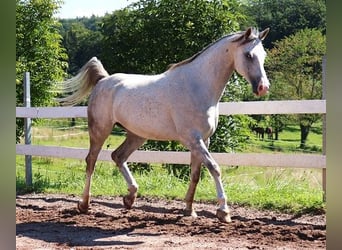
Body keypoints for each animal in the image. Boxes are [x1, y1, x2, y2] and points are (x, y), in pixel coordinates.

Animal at [56, 26, 270, 223]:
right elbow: (214, 168)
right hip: (100, 130)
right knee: (91, 161)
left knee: (118, 156)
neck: (197, 86)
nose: (263, 88)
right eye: (249, 55)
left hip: (137, 135)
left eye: (264, 55)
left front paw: (189, 210)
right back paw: (84, 204)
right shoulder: (193, 139)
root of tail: (103, 80)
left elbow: (195, 174)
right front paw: (223, 212)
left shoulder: (202, 140)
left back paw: (130, 197)